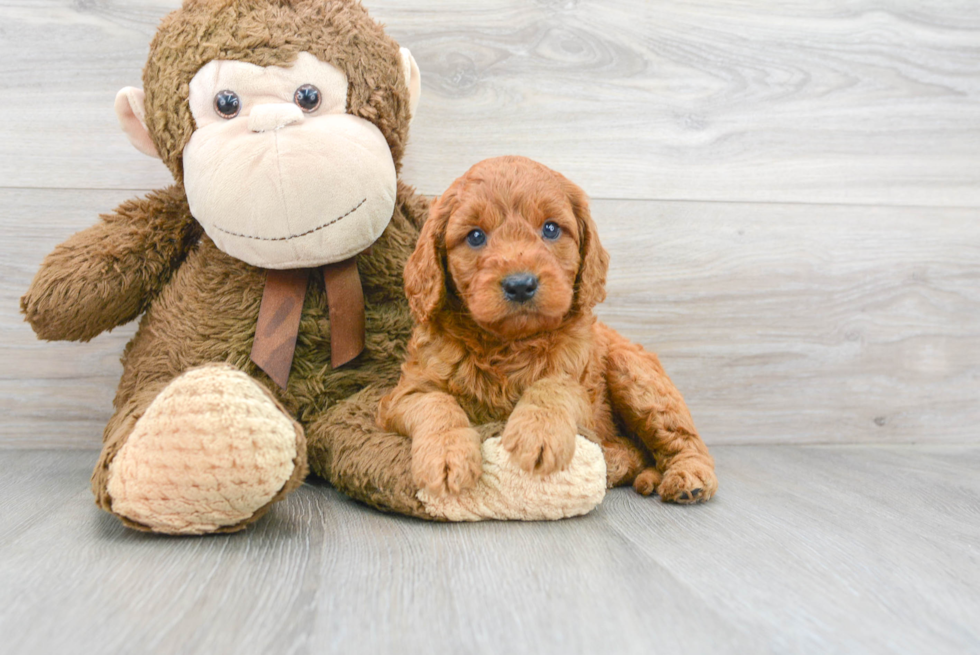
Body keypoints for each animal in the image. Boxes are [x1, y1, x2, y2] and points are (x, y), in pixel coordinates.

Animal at [378, 156, 716, 504]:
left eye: (551, 229)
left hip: (635, 375)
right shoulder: (400, 397)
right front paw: (446, 456)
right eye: (475, 236)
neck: (507, 345)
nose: (520, 285)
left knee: (684, 440)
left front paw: (537, 434)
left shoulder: (583, 391)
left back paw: (688, 476)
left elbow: (553, 385)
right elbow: (435, 403)